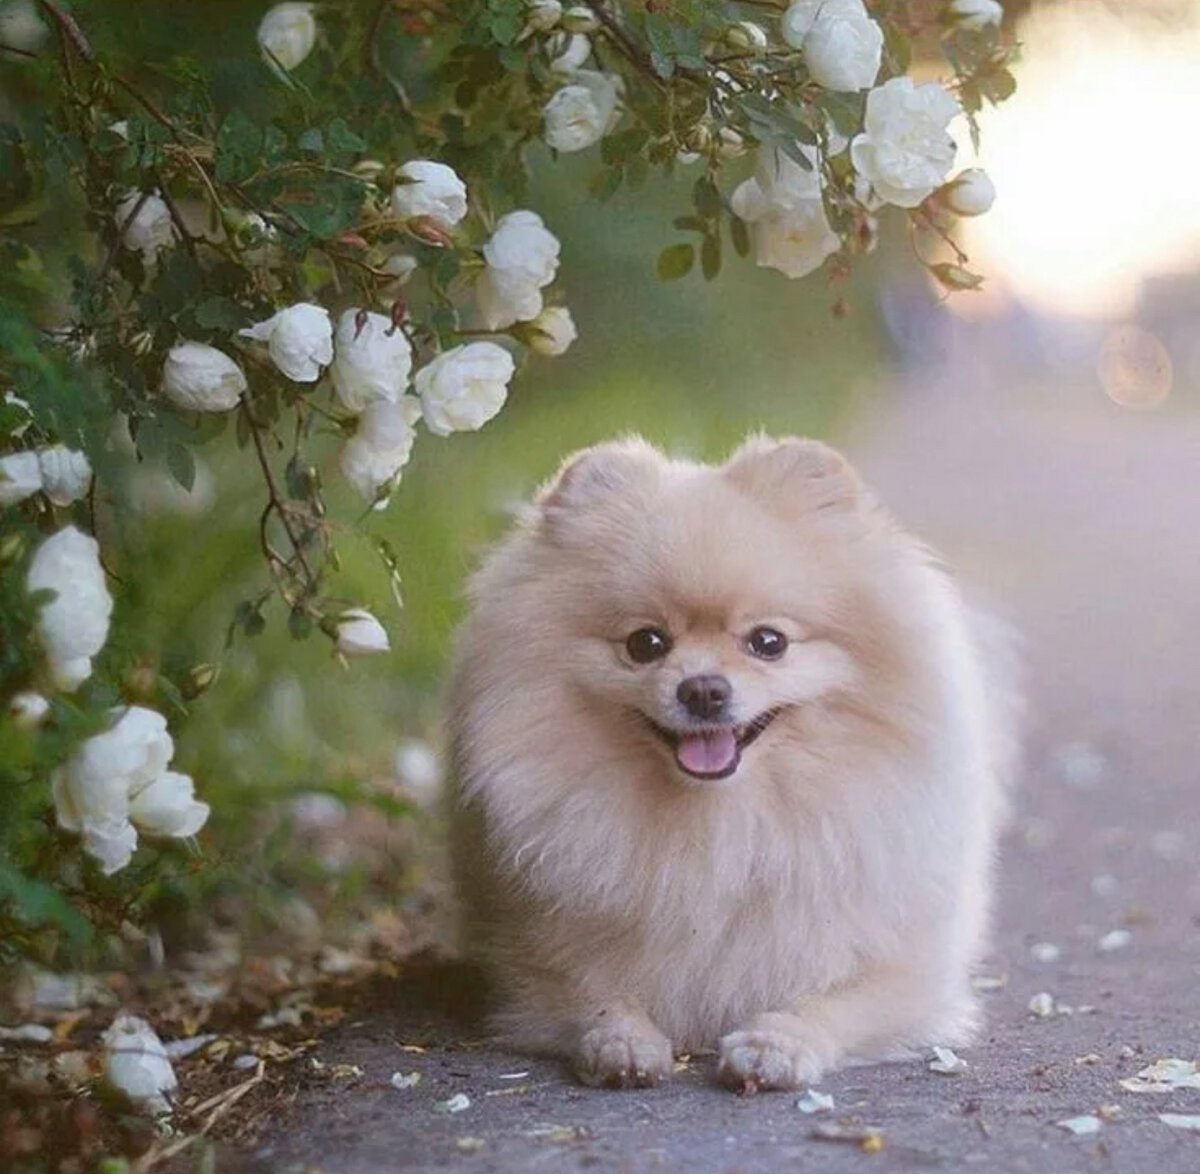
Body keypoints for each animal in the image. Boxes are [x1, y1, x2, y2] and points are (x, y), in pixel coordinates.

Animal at [446, 432, 1017, 1089]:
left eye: (768, 642)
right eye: (646, 643)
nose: (703, 689)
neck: (725, 825)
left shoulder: (906, 973)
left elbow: (834, 1000)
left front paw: (778, 1044)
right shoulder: (537, 966)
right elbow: (593, 995)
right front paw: (622, 1042)